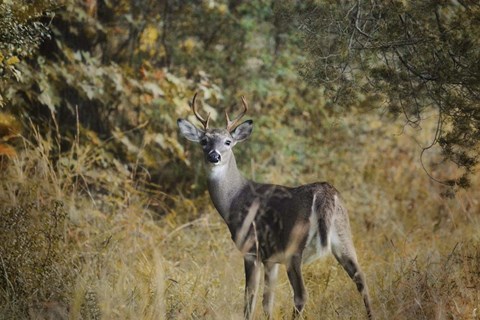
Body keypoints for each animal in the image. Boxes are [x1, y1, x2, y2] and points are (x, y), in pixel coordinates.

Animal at [177, 93, 376, 320]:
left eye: (228, 141)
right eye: (204, 141)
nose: (214, 156)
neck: (235, 199)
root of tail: (326, 193)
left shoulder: (251, 249)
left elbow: (250, 298)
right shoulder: (271, 260)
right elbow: (267, 302)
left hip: (294, 246)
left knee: (301, 295)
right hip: (344, 236)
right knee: (361, 280)